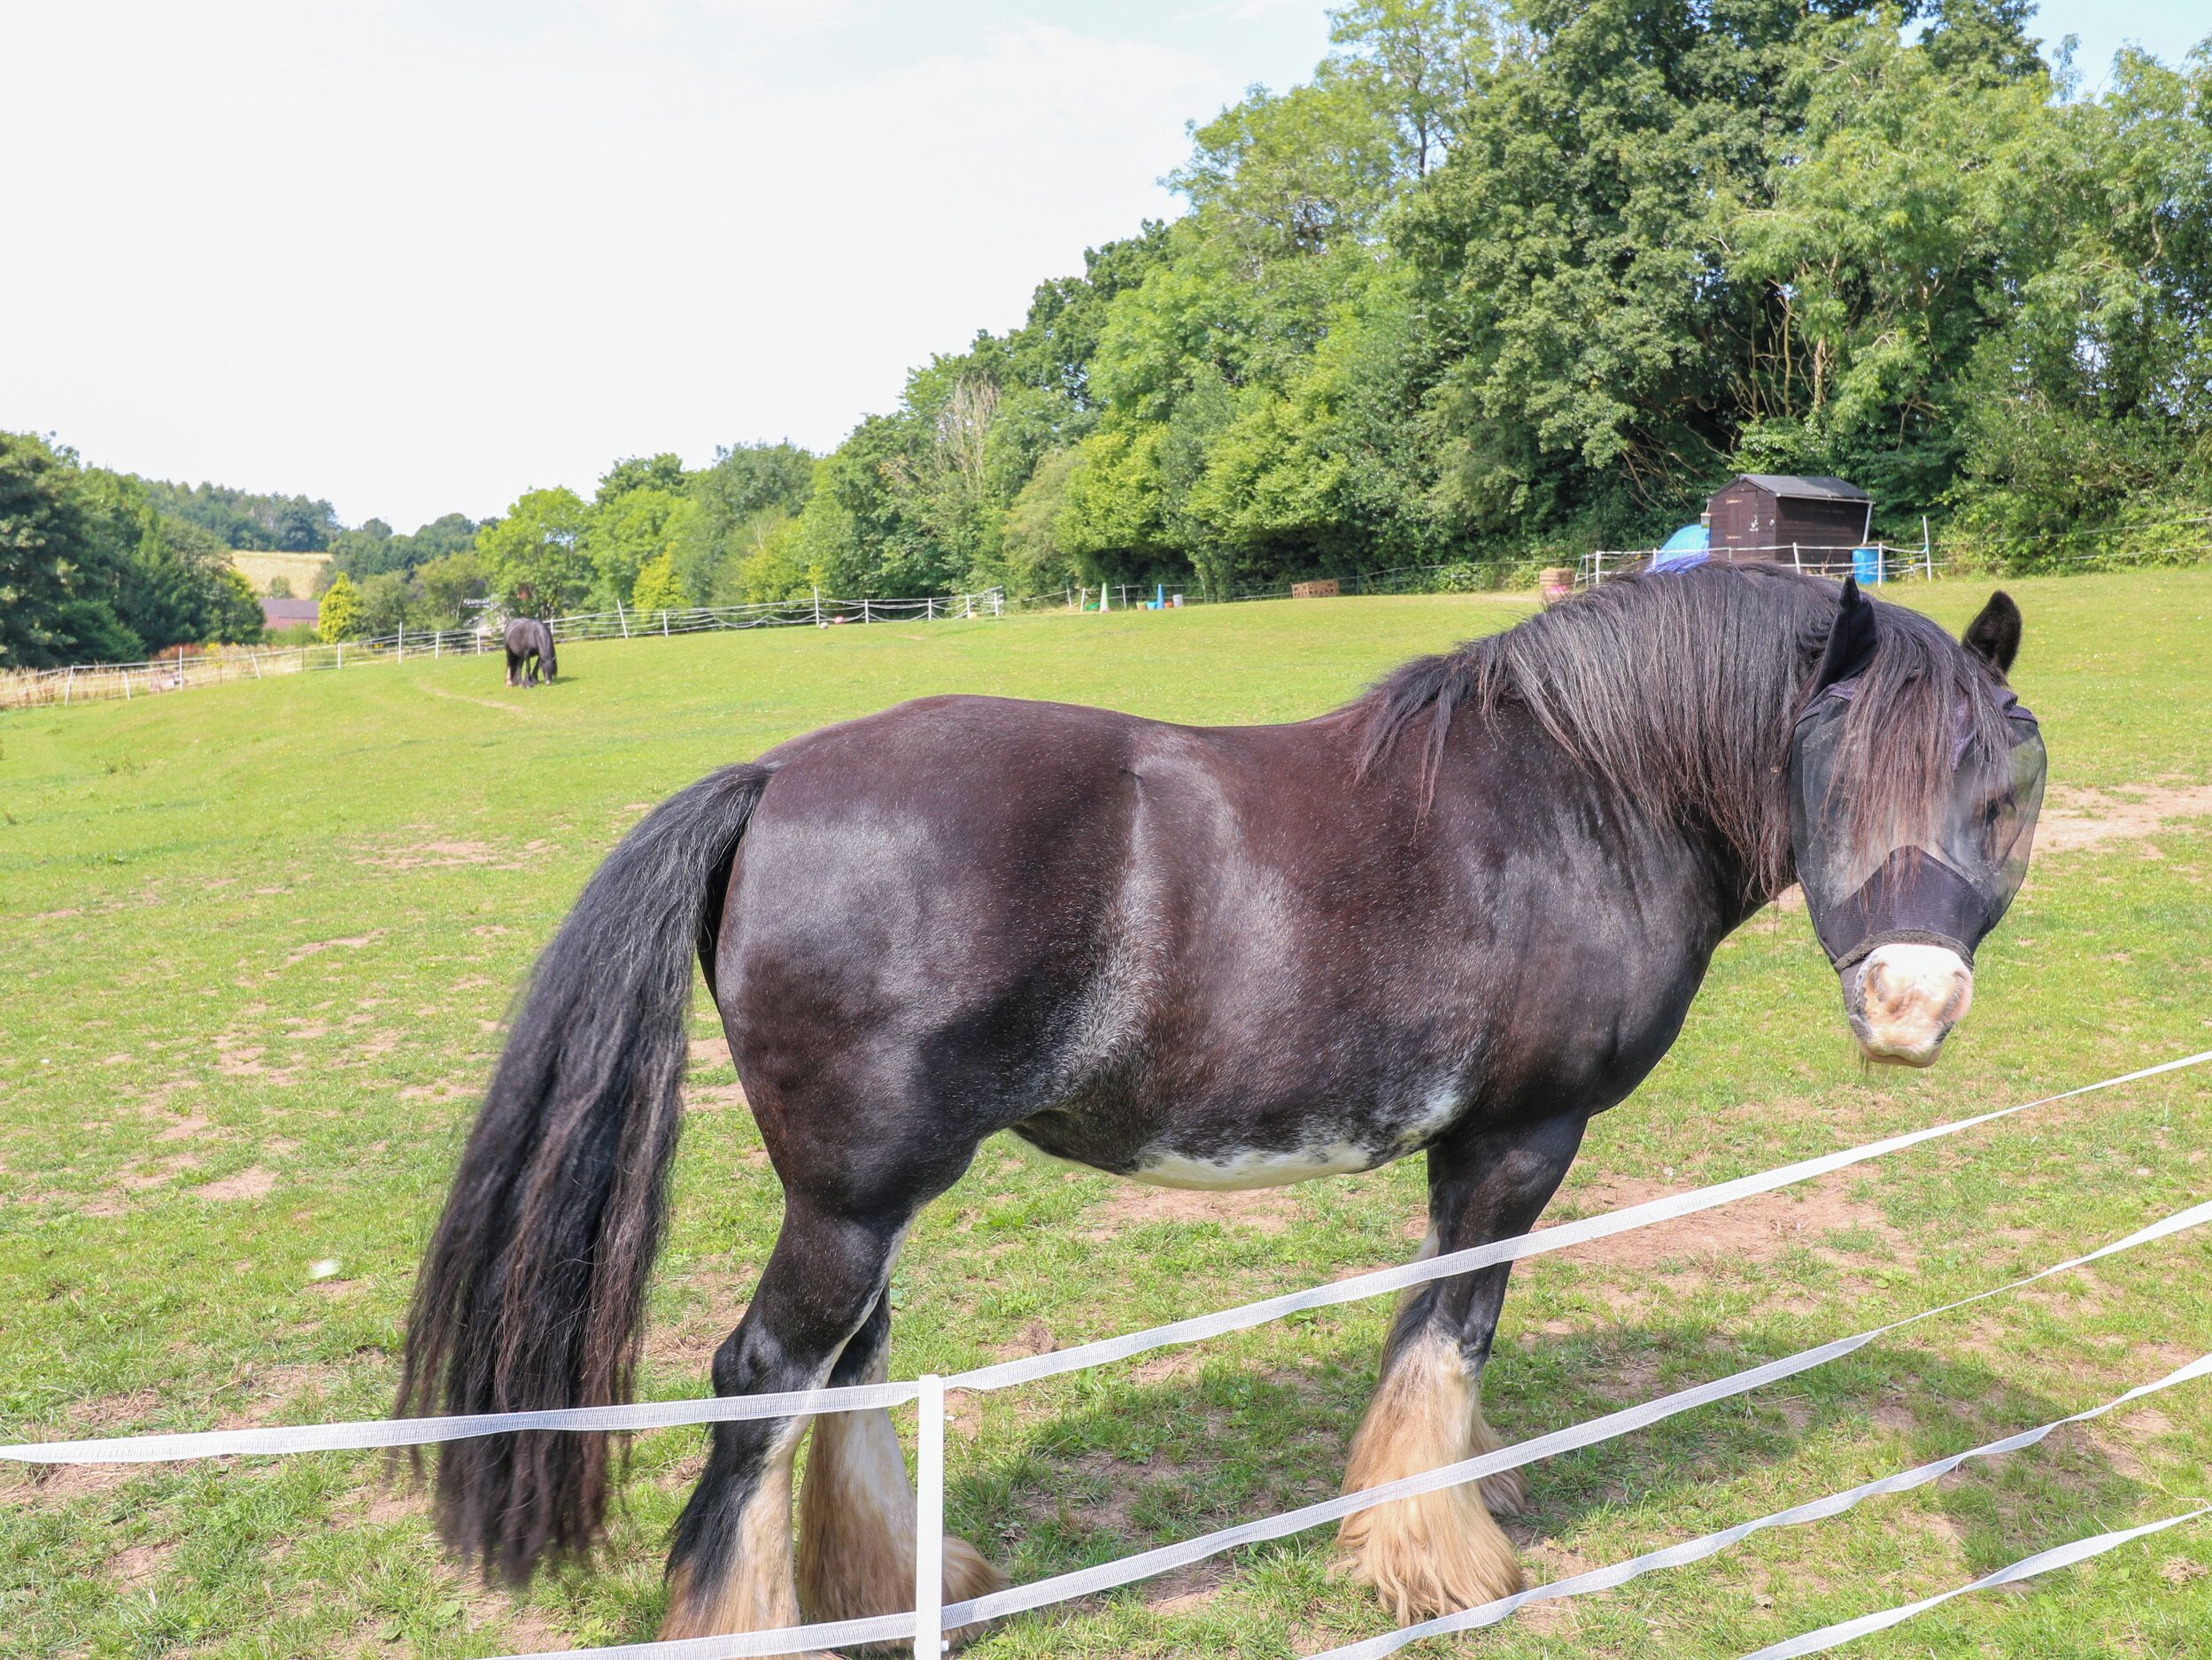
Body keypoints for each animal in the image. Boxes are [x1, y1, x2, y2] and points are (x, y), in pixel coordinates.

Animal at [399, 566, 2044, 1642]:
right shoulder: (1516, 1139)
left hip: (867, 1200)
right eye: (1839, 774)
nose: (1910, 1007)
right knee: (762, 1377)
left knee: (847, 1368)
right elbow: (1451, 1330)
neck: (1587, 791)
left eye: (2004, 791)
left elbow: (1435, 1333)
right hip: (853, 1199)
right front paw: (1435, 1558)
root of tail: (774, 779)